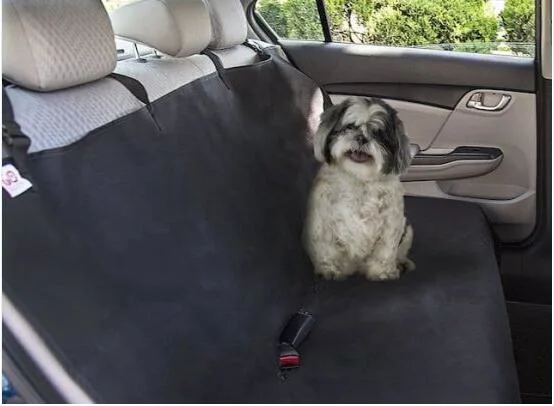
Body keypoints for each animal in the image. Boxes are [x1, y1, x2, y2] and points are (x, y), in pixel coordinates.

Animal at [302, 96, 414, 280]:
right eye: (349, 127)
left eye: (378, 134)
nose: (362, 138)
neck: (359, 179)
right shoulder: (322, 221)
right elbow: (326, 247)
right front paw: (329, 269)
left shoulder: (391, 223)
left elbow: (385, 250)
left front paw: (382, 272)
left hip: (408, 231)